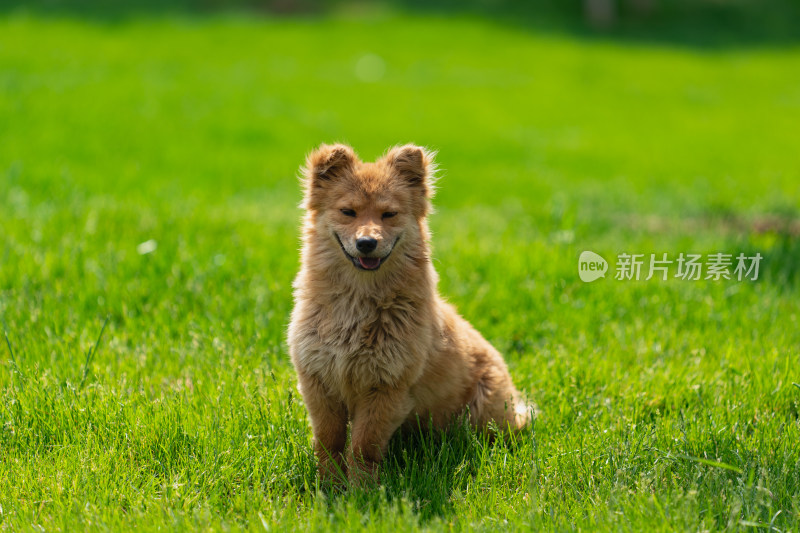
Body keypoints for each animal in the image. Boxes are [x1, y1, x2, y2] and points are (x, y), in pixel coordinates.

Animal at [288, 143, 532, 484]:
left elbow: (363, 447)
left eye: (388, 214)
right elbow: (329, 441)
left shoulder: (387, 387)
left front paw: (362, 490)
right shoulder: (319, 381)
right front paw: (330, 485)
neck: (357, 302)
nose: (366, 242)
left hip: (484, 412)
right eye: (348, 212)